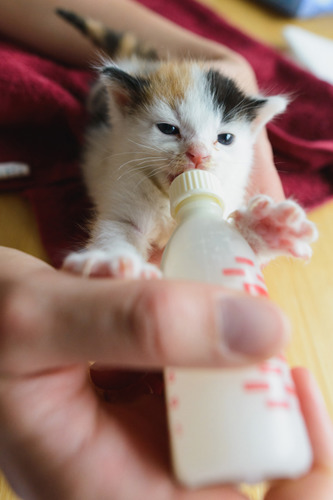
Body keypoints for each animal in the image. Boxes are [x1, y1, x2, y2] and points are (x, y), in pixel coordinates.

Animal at [57, 9, 316, 278]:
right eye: (168, 129)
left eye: (225, 138)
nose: (199, 154)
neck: (169, 202)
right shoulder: (121, 187)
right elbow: (118, 230)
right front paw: (111, 265)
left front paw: (267, 228)